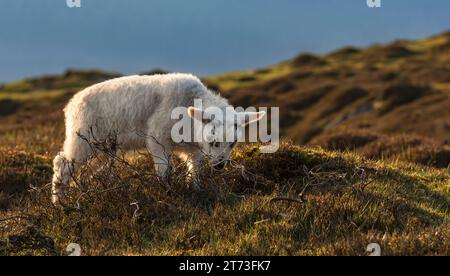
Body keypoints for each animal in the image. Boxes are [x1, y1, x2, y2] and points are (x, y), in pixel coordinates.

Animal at [51, 73, 266, 205]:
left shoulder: (195, 150)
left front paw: (196, 191)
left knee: (86, 172)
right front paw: (167, 193)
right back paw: (58, 203)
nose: (220, 166)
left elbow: (195, 171)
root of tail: (71, 104)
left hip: (104, 148)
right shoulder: (157, 139)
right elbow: (164, 170)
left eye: (233, 143)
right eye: (214, 141)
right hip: (83, 139)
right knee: (62, 163)